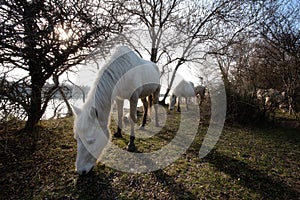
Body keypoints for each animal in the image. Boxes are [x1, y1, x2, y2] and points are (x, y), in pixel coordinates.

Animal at [72, 46, 161, 174]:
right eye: (77, 138)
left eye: (91, 141)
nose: (80, 171)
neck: (123, 71)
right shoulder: (119, 98)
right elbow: (119, 114)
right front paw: (118, 133)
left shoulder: (133, 97)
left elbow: (132, 117)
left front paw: (131, 144)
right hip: (144, 94)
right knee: (145, 106)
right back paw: (143, 124)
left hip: (156, 90)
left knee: (155, 105)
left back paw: (157, 123)